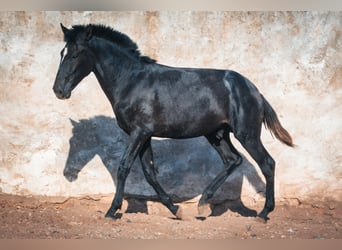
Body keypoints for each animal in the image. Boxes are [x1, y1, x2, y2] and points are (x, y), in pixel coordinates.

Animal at [53, 23, 294, 222]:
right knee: (232, 160)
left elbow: (124, 167)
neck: (132, 81)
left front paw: (112, 211)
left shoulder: (139, 133)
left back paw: (263, 213)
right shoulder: (145, 135)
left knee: (267, 163)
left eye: (75, 54)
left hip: (247, 134)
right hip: (217, 134)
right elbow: (149, 173)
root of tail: (254, 90)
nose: (58, 90)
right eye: (61, 53)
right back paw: (202, 204)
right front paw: (176, 209)